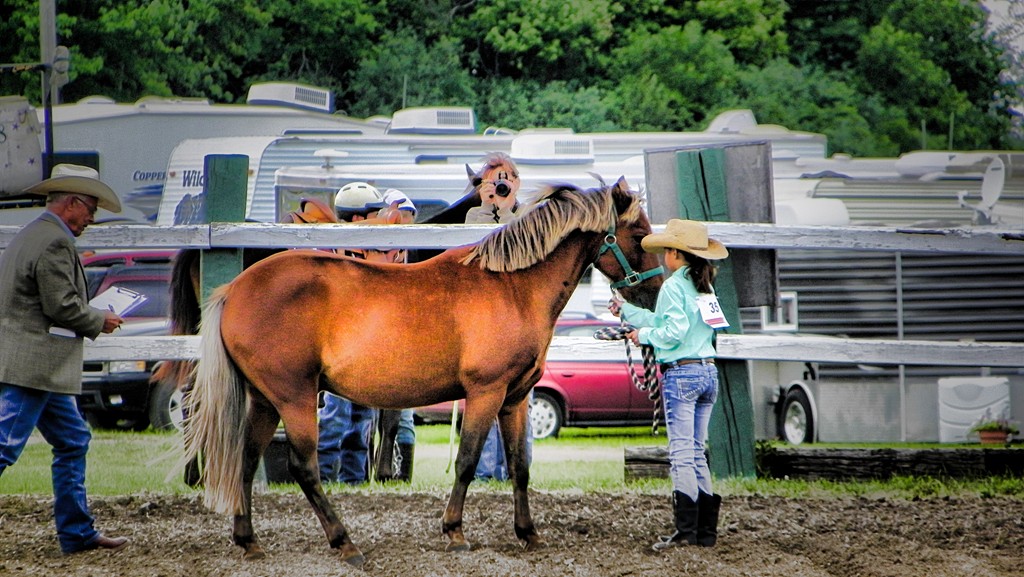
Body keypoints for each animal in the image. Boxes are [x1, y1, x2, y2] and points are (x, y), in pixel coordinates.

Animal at [179, 176, 663, 566]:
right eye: (640, 234)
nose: (659, 290)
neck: (512, 286)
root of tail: (235, 289)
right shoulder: (485, 393)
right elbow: (467, 460)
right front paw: (455, 532)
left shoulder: (516, 398)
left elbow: (520, 465)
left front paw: (528, 534)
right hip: (294, 398)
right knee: (304, 467)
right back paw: (345, 543)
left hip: (265, 400)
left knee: (245, 460)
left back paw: (249, 541)